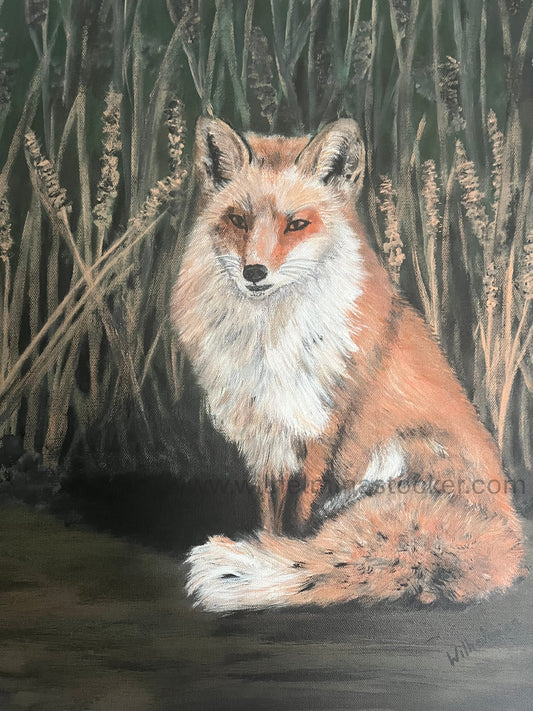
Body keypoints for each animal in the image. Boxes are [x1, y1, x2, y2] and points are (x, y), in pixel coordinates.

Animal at [170, 116, 524, 613]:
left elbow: (298, 522)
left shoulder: (320, 431)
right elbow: (270, 519)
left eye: (296, 224)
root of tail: (503, 541)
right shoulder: (265, 442)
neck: (268, 341)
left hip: (400, 455)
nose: (254, 272)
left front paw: (278, 552)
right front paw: (266, 545)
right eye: (238, 220)